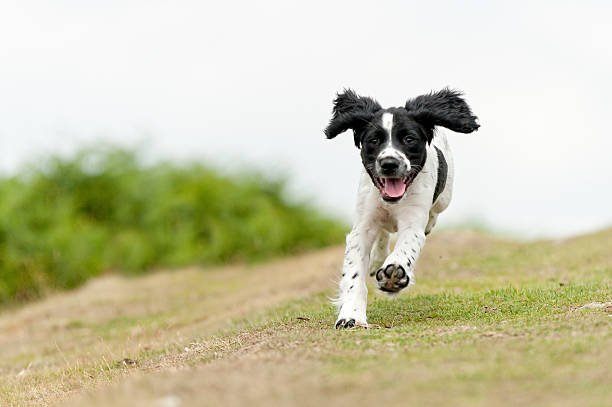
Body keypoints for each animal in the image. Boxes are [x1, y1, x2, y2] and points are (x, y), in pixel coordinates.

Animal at [322, 88, 480, 328]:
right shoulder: (362, 226)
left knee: (431, 216)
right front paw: (351, 315)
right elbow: (353, 274)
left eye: (409, 139)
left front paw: (394, 275)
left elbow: (406, 248)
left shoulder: (413, 223)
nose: (389, 163)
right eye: (373, 140)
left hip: (444, 199)